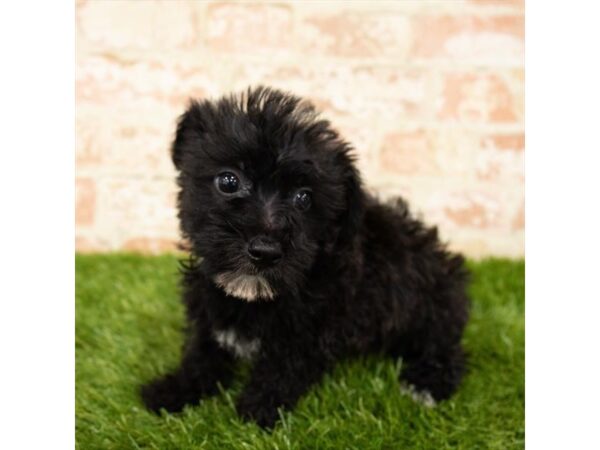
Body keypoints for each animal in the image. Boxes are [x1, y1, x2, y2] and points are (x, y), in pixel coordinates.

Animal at [143, 86, 472, 428]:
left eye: (304, 198)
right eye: (228, 181)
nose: (265, 251)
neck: (253, 296)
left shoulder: (312, 325)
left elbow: (284, 366)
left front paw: (259, 409)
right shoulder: (209, 306)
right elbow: (201, 351)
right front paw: (175, 390)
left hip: (430, 307)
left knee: (446, 348)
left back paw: (427, 384)